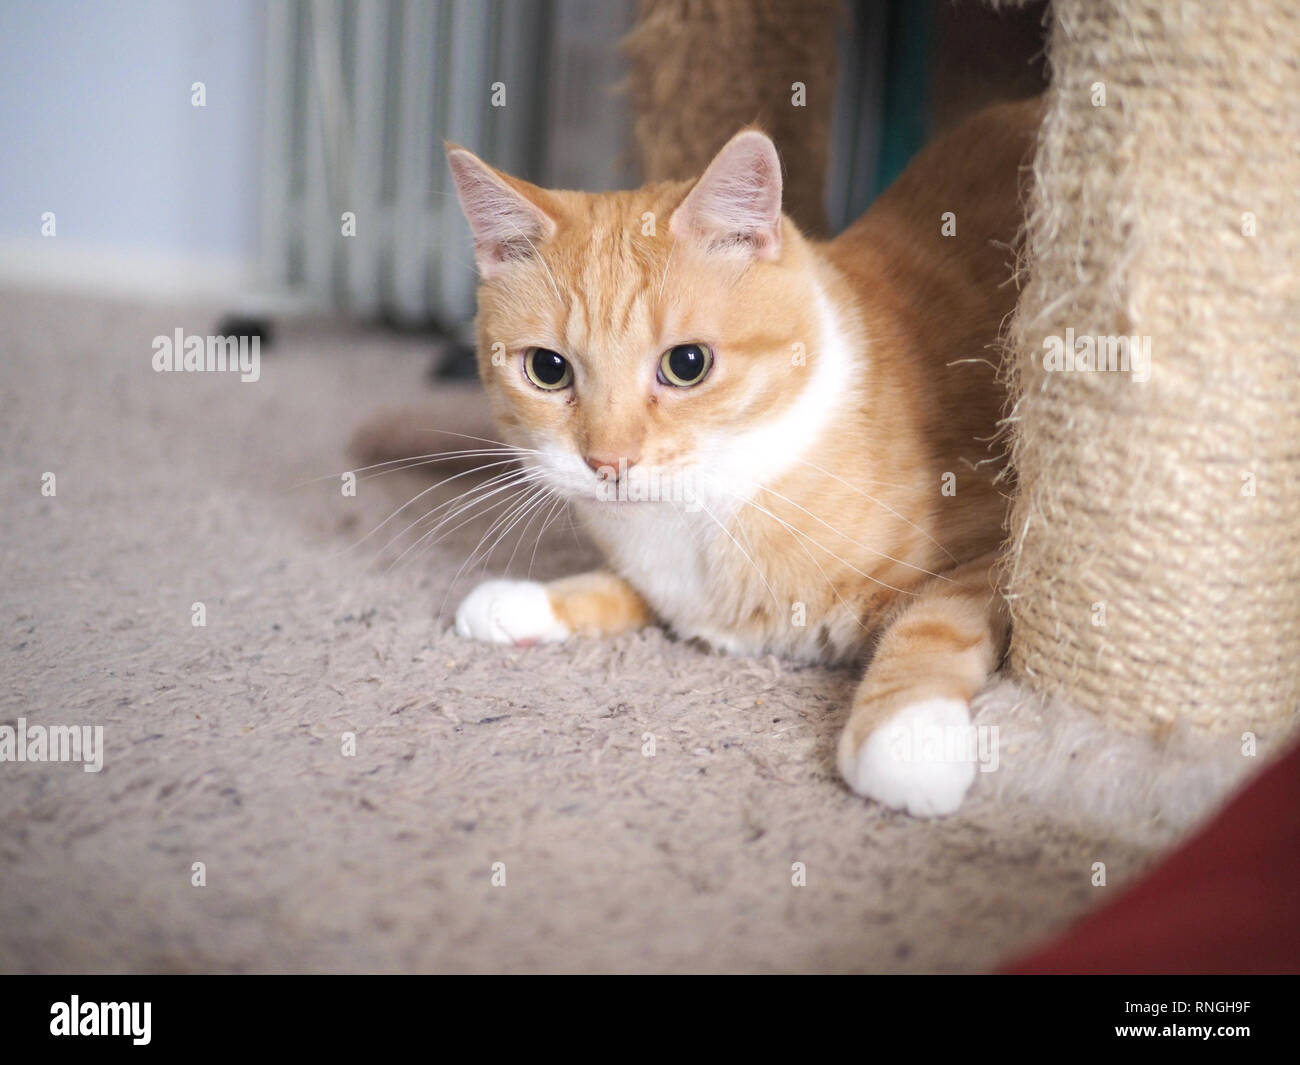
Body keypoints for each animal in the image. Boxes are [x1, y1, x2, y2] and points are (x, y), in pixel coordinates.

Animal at [444, 100, 1034, 816]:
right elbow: (628, 589)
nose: (608, 461)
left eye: (687, 363)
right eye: (548, 370)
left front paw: (906, 738)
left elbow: (931, 626)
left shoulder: (998, 543)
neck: (707, 508)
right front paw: (528, 601)